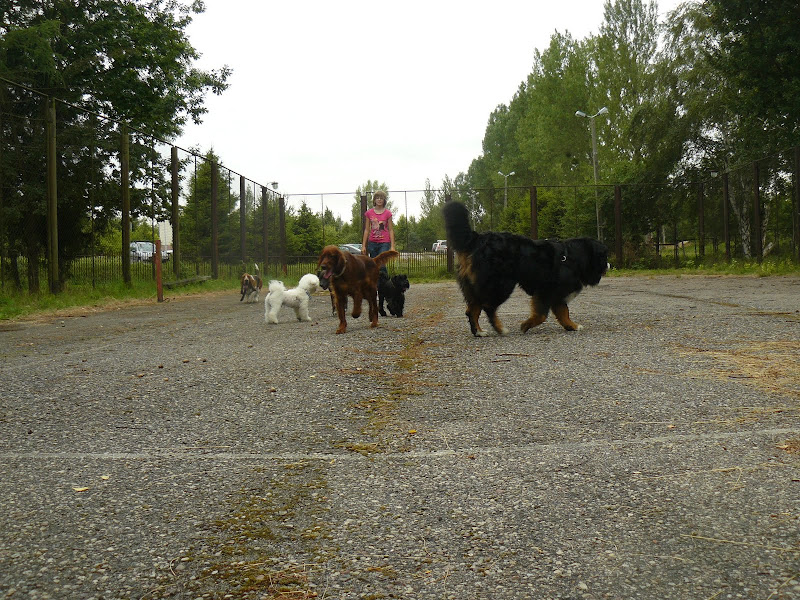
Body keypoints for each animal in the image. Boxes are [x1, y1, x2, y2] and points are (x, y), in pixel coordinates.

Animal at [442, 201, 608, 337]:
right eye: (604, 257)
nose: (608, 265)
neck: (573, 259)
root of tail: (478, 239)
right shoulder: (545, 291)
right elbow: (541, 315)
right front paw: (525, 325)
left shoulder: (557, 296)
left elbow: (564, 314)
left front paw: (572, 326)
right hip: (501, 285)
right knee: (488, 307)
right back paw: (499, 329)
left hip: (478, 287)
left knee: (472, 310)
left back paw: (479, 332)